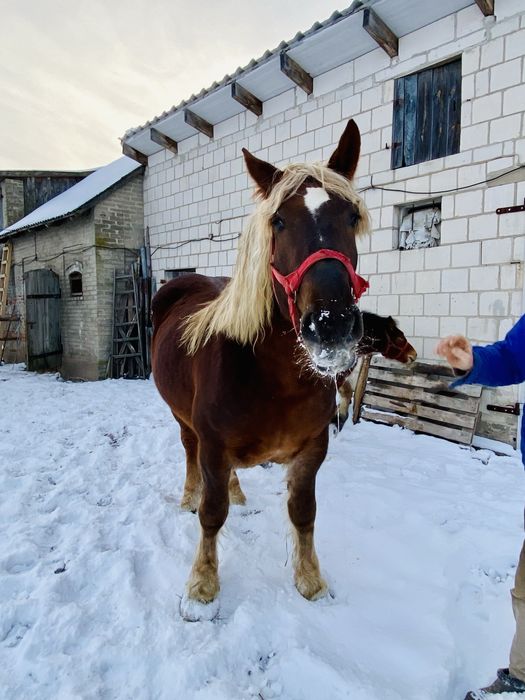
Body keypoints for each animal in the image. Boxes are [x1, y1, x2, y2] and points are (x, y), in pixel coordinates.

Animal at [151, 119, 371, 619]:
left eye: (351, 216)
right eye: (279, 221)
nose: (331, 322)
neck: (274, 378)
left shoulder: (312, 449)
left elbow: (303, 511)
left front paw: (310, 579)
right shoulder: (213, 443)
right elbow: (211, 515)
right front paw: (202, 584)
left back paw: (237, 490)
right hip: (183, 421)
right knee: (190, 455)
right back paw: (189, 495)